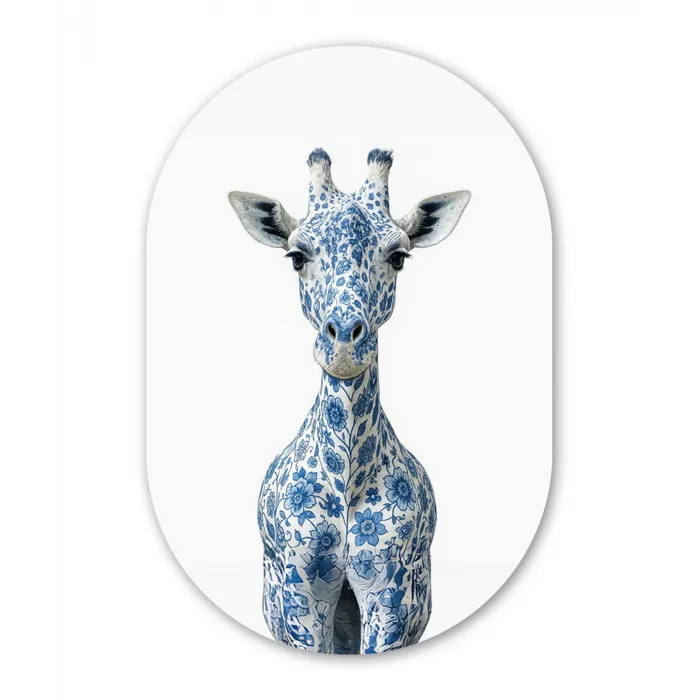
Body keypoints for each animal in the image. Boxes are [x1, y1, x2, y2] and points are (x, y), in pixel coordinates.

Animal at [229, 149, 471, 653]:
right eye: (296, 257)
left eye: (398, 257)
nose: (343, 346)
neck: (347, 482)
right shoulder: (302, 589)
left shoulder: (389, 592)